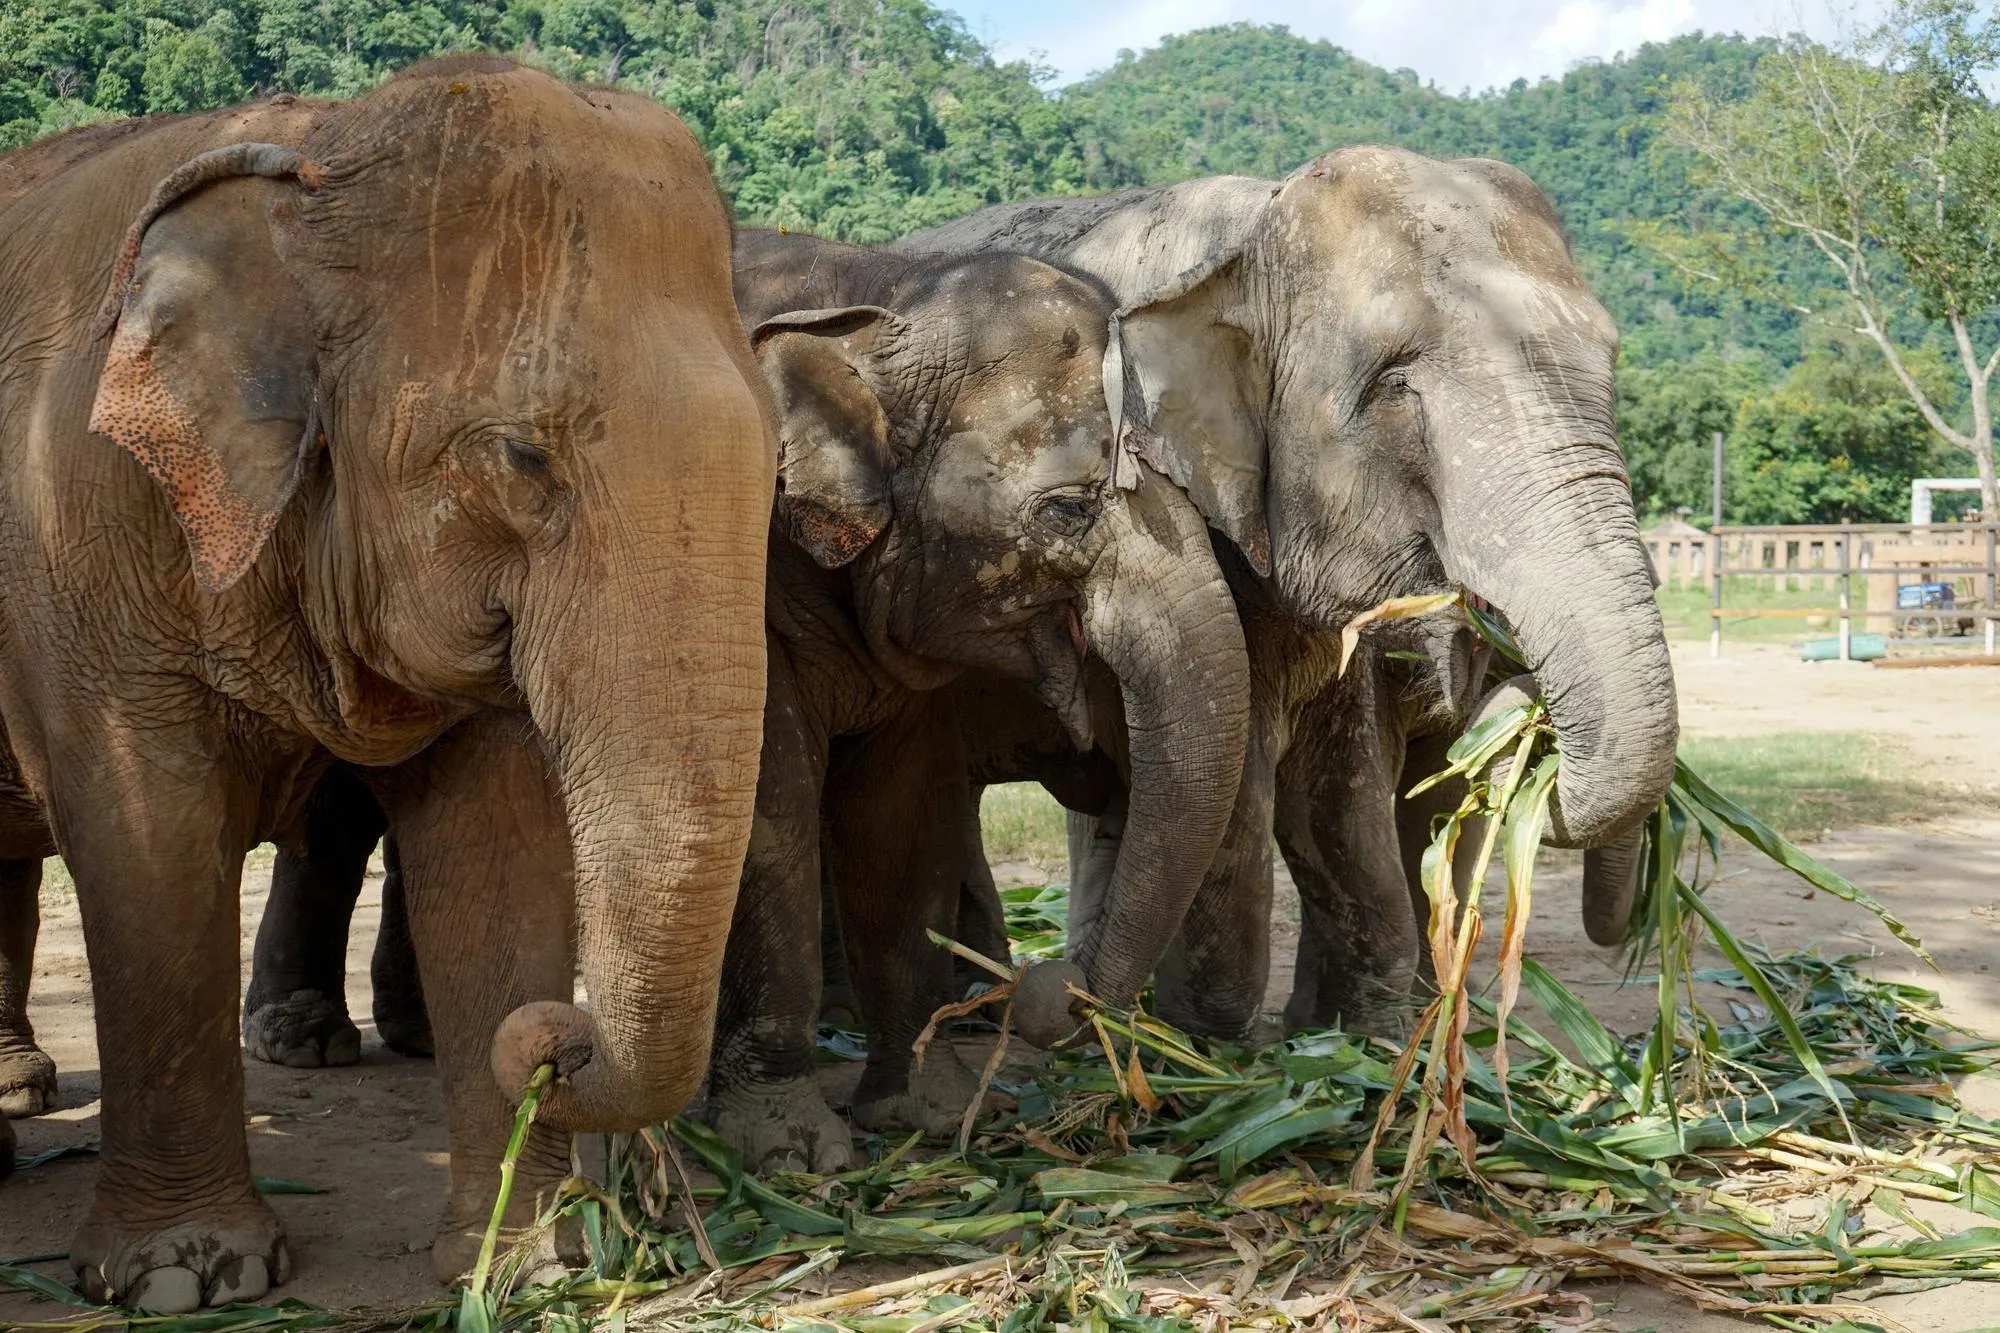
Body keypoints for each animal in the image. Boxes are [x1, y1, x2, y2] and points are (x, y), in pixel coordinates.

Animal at [0, 58, 776, 1310]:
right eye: (520, 456)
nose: (556, 1039)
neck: (316, 148)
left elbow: (497, 839)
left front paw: (531, 1262)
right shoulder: (80, 528)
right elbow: (146, 841)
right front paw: (187, 1277)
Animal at [901, 144, 1677, 1038]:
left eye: (1611, 361)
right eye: (1394, 385)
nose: (1532, 719)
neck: (1250, 232)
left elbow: (1341, 792)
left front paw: (1349, 1033)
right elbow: (1241, 771)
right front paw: (1213, 1035)